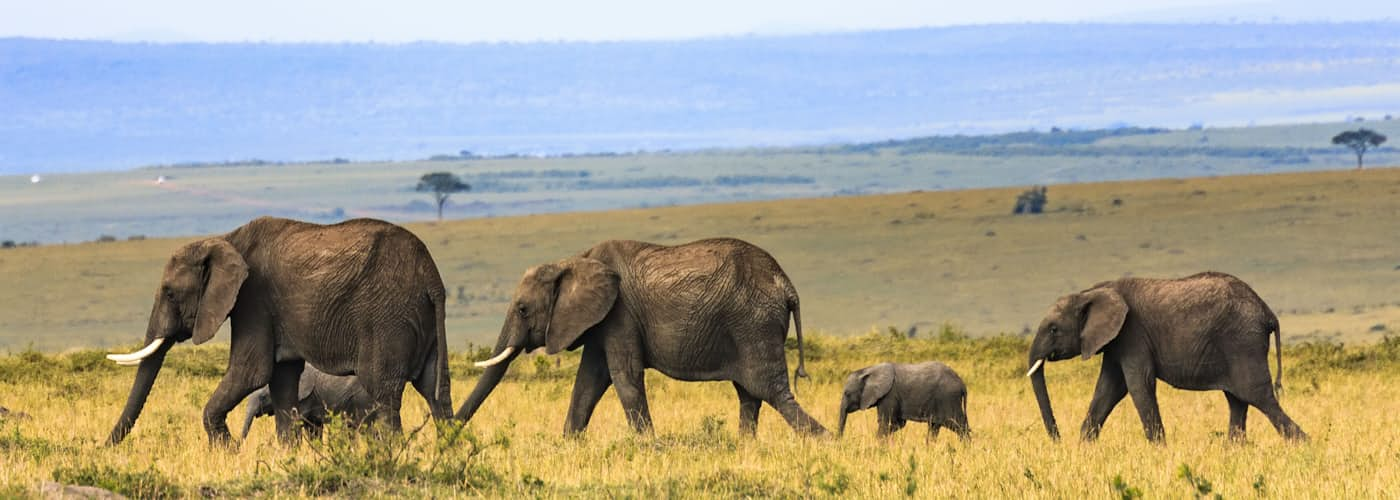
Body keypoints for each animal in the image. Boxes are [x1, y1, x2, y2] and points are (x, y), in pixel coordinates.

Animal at [834, 361, 968, 436]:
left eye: (847, 393)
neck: (869, 370)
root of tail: (962, 383)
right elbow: (898, 423)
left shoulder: (889, 395)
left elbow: (885, 422)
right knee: (934, 428)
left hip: (948, 399)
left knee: (959, 426)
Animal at [1024, 270, 1304, 442]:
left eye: (1054, 329)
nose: (1057, 440)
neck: (1091, 292)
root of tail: (1268, 312)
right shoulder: (1116, 341)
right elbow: (1108, 388)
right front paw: (1083, 447)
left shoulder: (1133, 333)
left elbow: (1138, 385)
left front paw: (1160, 449)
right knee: (1237, 400)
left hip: (1243, 343)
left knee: (1257, 396)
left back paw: (1302, 445)